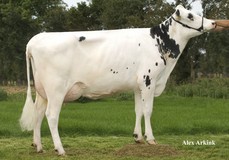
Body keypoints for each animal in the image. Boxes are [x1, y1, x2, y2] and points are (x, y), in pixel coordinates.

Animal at [20, 5, 216, 155]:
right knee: (51, 116)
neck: (159, 43)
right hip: (56, 90)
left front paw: (138, 137)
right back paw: (60, 149)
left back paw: (38, 146)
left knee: (38, 113)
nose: (213, 22)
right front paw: (151, 139)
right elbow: (148, 111)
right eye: (190, 16)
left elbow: (138, 110)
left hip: (42, 91)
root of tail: (35, 40)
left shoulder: (138, 85)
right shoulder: (149, 80)